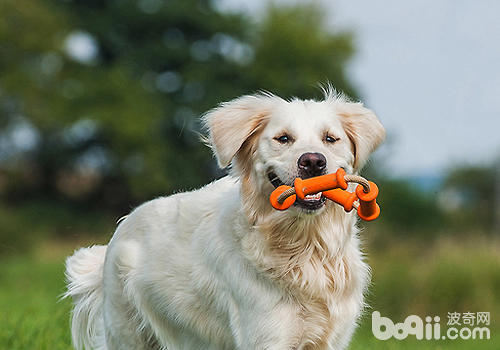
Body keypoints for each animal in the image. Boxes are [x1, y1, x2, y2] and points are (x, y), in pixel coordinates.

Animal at [65, 90, 386, 350]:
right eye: (283, 138)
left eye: (330, 139)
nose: (313, 162)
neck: (304, 247)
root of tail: (124, 223)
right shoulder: (266, 335)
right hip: (129, 333)